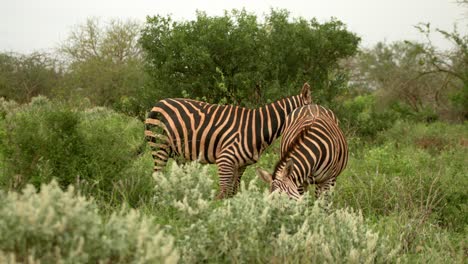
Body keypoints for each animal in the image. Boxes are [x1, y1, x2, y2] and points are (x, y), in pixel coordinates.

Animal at [143, 82, 310, 198]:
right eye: (311, 110)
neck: (257, 127)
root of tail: (158, 103)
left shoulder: (241, 165)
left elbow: (233, 191)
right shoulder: (225, 160)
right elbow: (224, 192)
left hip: (179, 154)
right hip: (160, 146)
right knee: (157, 175)